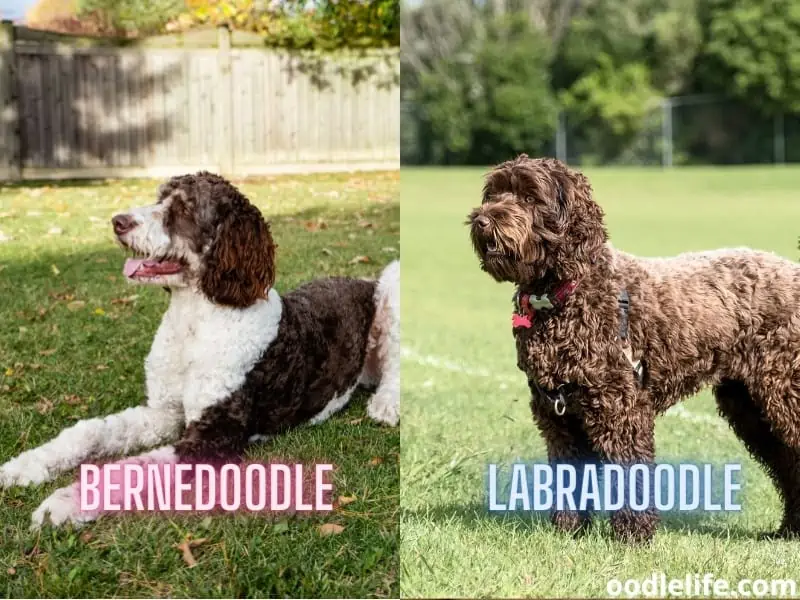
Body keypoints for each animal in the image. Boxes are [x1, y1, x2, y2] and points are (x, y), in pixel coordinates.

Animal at [0, 171, 400, 528]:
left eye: (184, 210)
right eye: (159, 198)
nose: (118, 222)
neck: (193, 323)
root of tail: (363, 281)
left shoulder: (211, 436)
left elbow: (133, 467)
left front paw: (65, 501)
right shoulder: (162, 413)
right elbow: (90, 433)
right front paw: (25, 466)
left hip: (391, 286)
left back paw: (386, 405)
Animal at [466, 154, 800, 544]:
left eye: (531, 197)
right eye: (494, 193)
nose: (483, 219)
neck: (565, 295)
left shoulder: (620, 408)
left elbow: (628, 470)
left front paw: (633, 534)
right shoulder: (557, 415)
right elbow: (568, 474)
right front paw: (569, 530)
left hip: (781, 391)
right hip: (750, 405)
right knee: (787, 463)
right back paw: (791, 528)